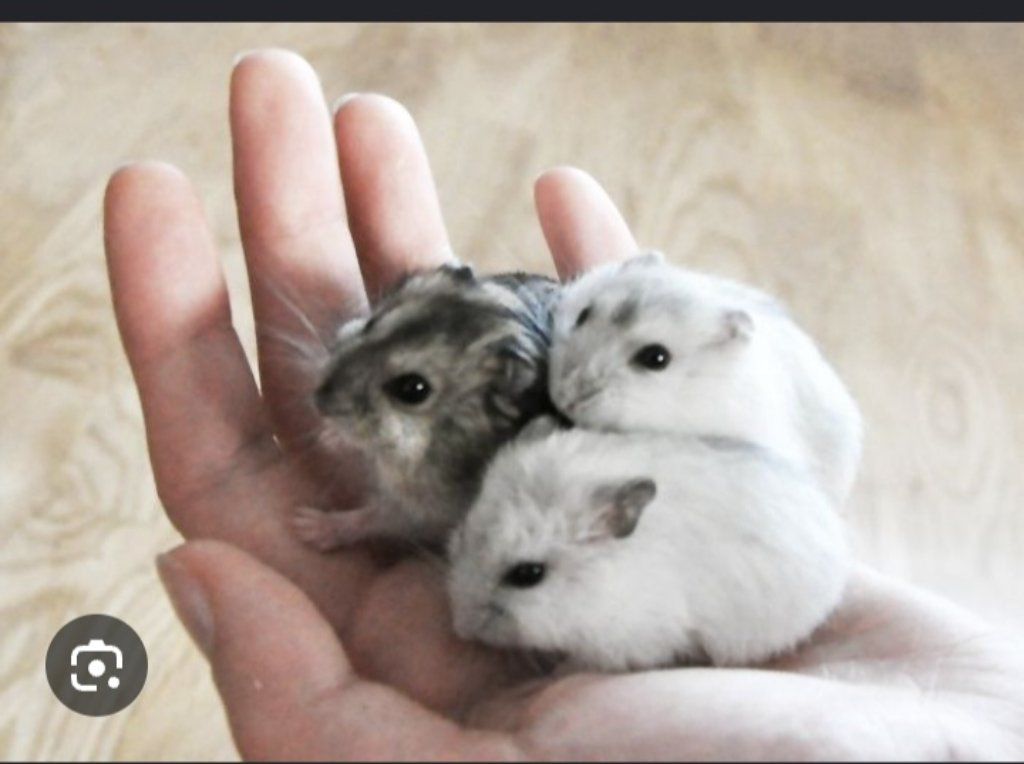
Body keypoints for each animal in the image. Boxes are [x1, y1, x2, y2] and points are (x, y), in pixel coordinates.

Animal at [292, 263, 561, 550]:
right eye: (372, 322)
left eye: (413, 389)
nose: (318, 401)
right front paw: (328, 438)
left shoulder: (423, 510)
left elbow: (372, 519)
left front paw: (307, 526)